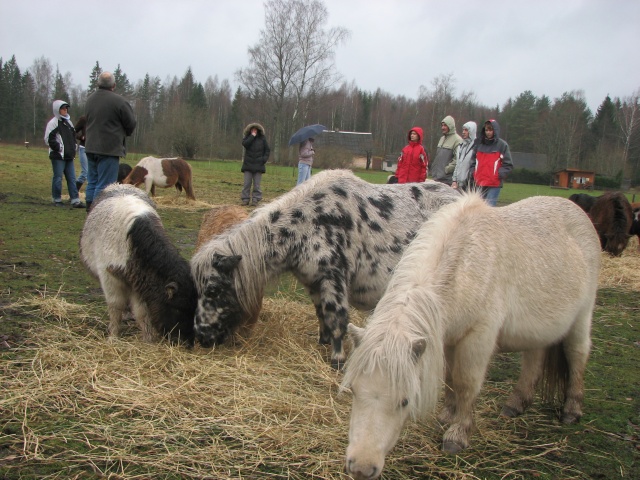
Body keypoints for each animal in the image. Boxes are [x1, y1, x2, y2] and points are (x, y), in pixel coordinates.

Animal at [190, 169, 460, 368]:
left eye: (213, 290)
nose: (201, 336)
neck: (306, 223)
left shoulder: (334, 278)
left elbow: (336, 318)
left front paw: (337, 360)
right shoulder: (313, 282)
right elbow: (322, 314)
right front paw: (323, 342)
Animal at [342, 192, 604, 480]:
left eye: (405, 400)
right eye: (353, 390)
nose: (361, 468)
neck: (464, 268)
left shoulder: (478, 337)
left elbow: (466, 382)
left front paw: (457, 434)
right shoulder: (445, 338)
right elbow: (449, 380)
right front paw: (447, 415)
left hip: (581, 317)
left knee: (577, 354)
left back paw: (571, 410)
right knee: (534, 359)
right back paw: (516, 404)